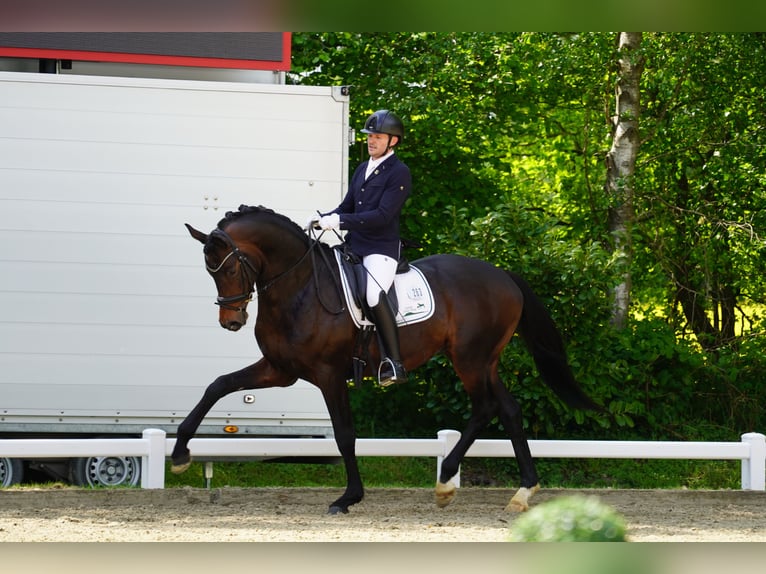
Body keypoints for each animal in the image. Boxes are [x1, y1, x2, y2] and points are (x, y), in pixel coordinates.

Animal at [171, 205, 596, 516]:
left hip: (471, 359)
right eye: (210, 271)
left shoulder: (328, 375)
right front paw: (179, 454)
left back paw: (452, 481)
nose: (231, 321)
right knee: (507, 409)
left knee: (486, 407)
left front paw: (348, 498)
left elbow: (344, 434)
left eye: (229, 266)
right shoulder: (280, 370)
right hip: (483, 361)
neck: (300, 287)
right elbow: (218, 385)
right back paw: (515, 491)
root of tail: (503, 275)